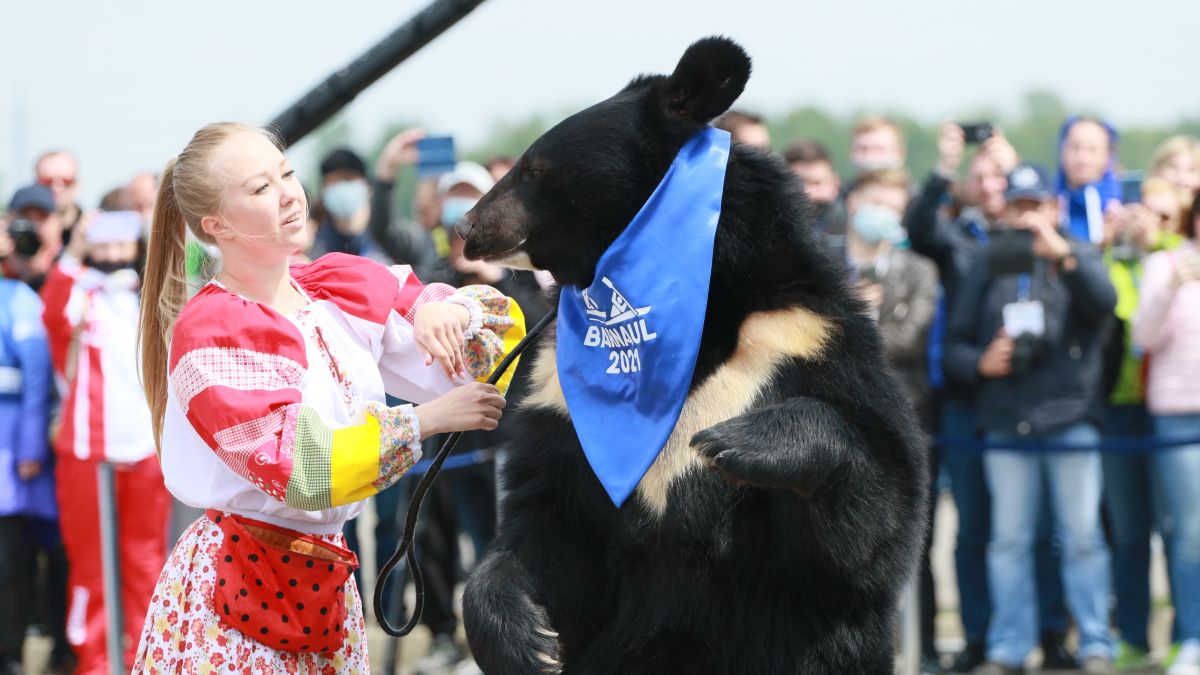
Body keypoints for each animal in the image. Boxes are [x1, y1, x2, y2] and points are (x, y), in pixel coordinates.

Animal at [458, 38, 926, 672]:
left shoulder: (810, 339)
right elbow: (547, 524)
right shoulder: (558, 394)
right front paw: (526, 640)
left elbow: (880, 512)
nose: (467, 228)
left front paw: (737, 442)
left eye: (534, 169)